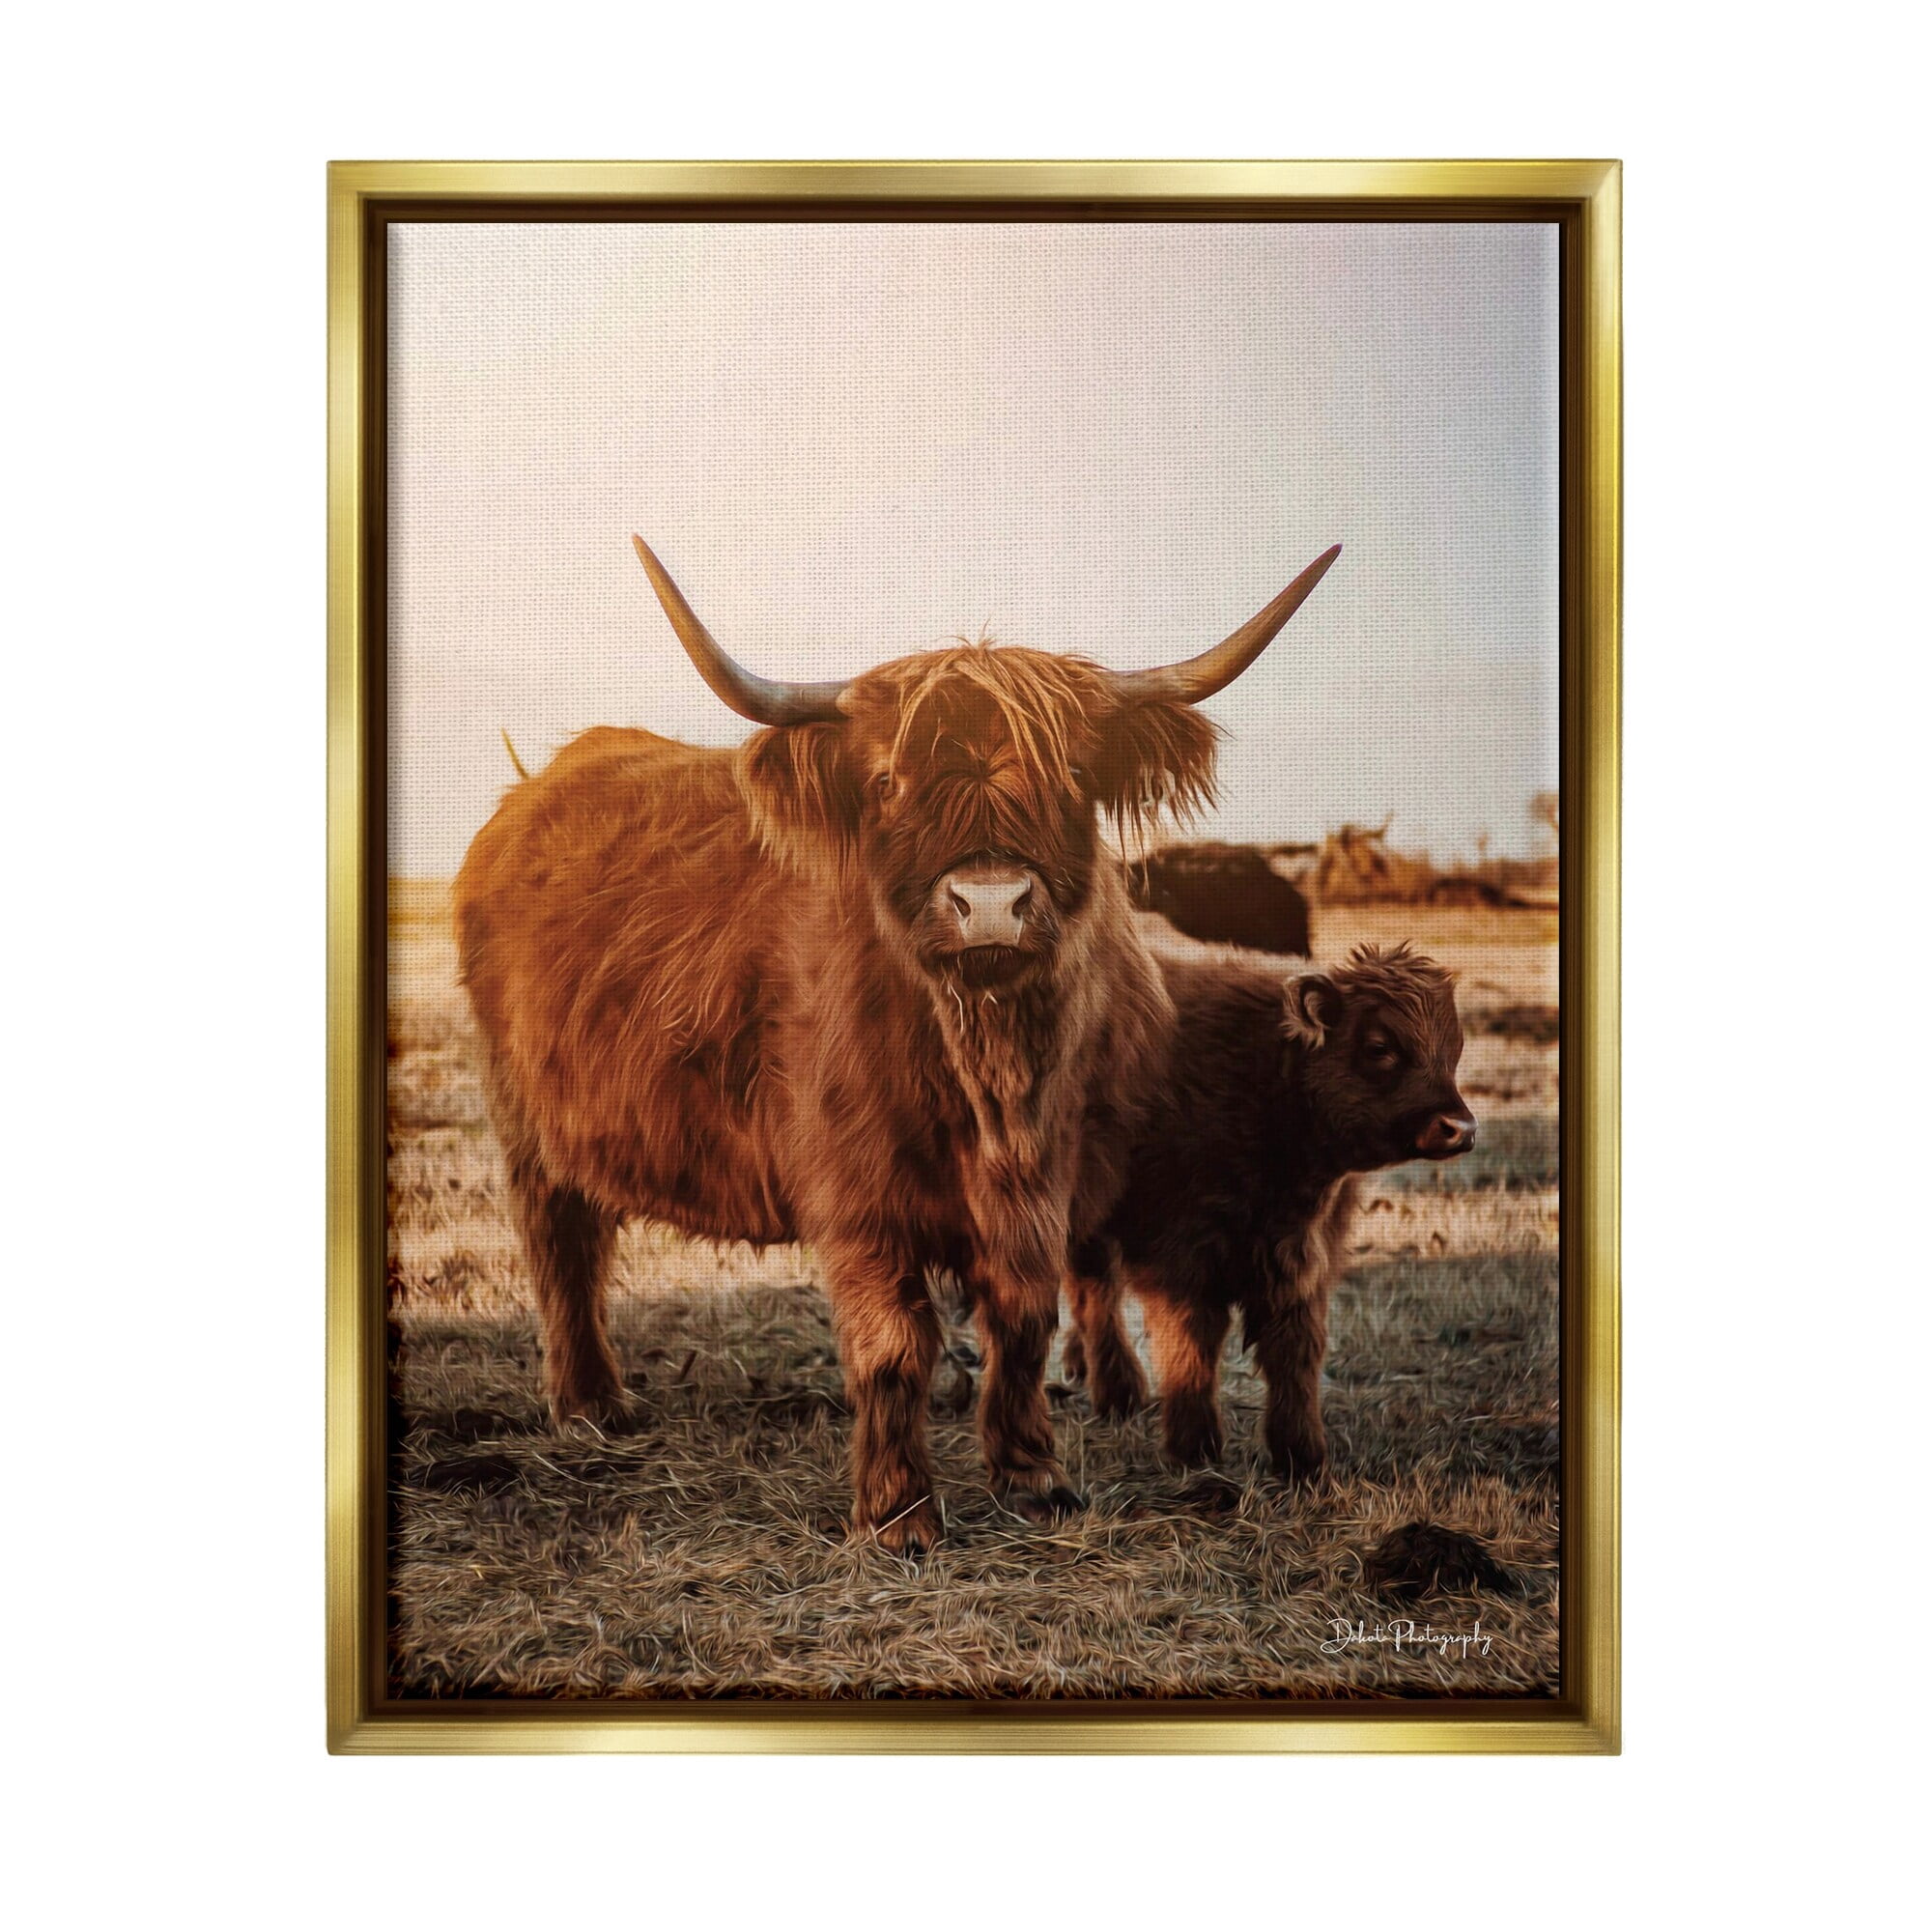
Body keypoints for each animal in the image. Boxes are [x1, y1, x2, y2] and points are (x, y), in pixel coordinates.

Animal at [1063, 942, 1473, 1480]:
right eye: (1380, 1046)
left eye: (1454, 1049)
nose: (1460, 1128)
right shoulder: (1180, 1258)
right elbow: (1191, 1344)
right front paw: (1194, 1449)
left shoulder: (1302, 1260)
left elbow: (1295, 1350)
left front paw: (1302, 1456)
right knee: (1096, 1292)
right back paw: (1118, 1392)